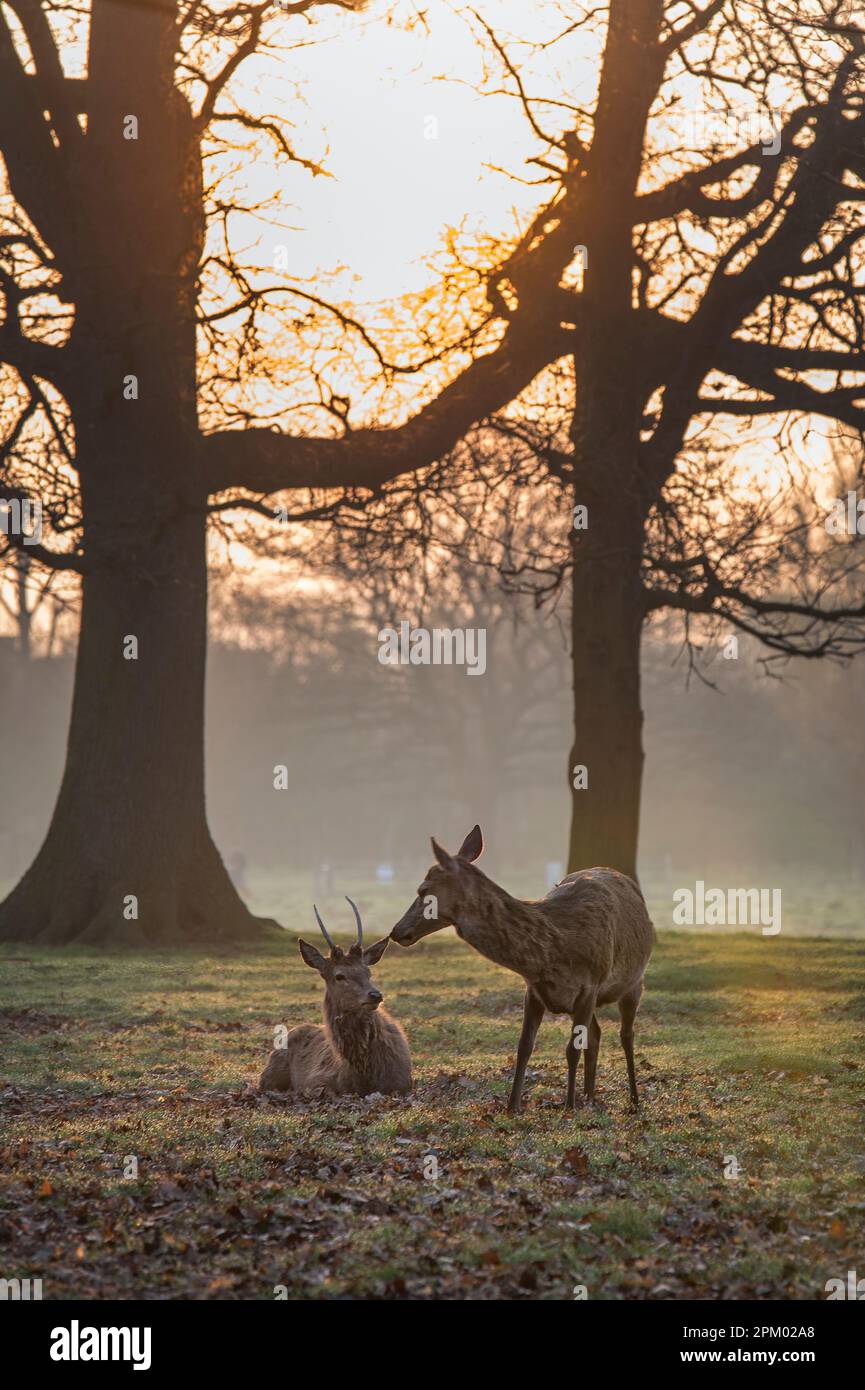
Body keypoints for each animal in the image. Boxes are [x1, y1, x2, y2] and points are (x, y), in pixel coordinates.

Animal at [257, 900, 414, 1095]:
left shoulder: (402, 1082)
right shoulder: (316, 1081)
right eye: (339, 976)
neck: (364, 1073)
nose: (375, 995)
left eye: (368, 972)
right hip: (269, 1072)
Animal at [389, 828, 653, 1112]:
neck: (552, 954)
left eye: (423, 889)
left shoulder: (589, 985)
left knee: (626, 1034)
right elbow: (524, 1046)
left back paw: (633, 1100)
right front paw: (512, 1106)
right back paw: (590, 1097)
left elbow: (571, 1049)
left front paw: (568, 1107)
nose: (396, 931)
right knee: (596, 1034)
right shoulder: (534, 990)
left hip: (634, 982)